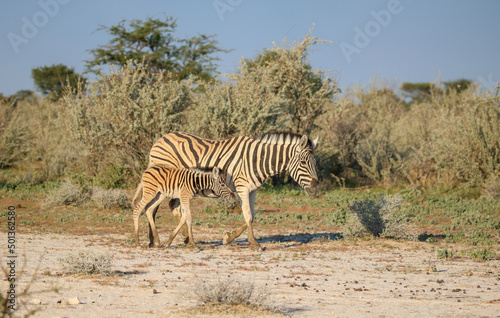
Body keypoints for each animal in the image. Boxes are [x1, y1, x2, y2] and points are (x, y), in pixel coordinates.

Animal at [132, 130, 320, 250]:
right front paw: (254, 243)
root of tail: (159, 140)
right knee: (154, 208)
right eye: (303, 162)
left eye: (315, 162)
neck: (257, 159)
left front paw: (229, 237)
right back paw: (156, 240)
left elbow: (252, 215)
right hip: (165, 182)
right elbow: (248, 215)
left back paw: (177, 238)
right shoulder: (242, 187)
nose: (315, 188)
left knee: (169, 207)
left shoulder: (253, 190)